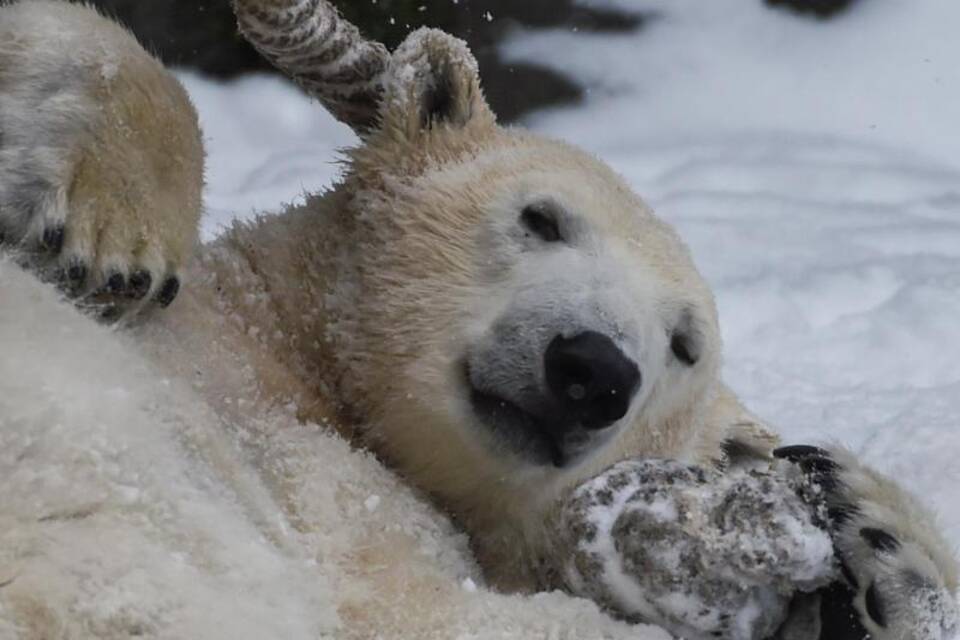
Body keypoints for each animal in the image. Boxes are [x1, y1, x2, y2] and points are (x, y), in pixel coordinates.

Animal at [0, 1, 956, 640]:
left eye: (686, 345)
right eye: (541, 218)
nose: (593, 370)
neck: (296, 354)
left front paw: (874, 532)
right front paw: (112, 237)